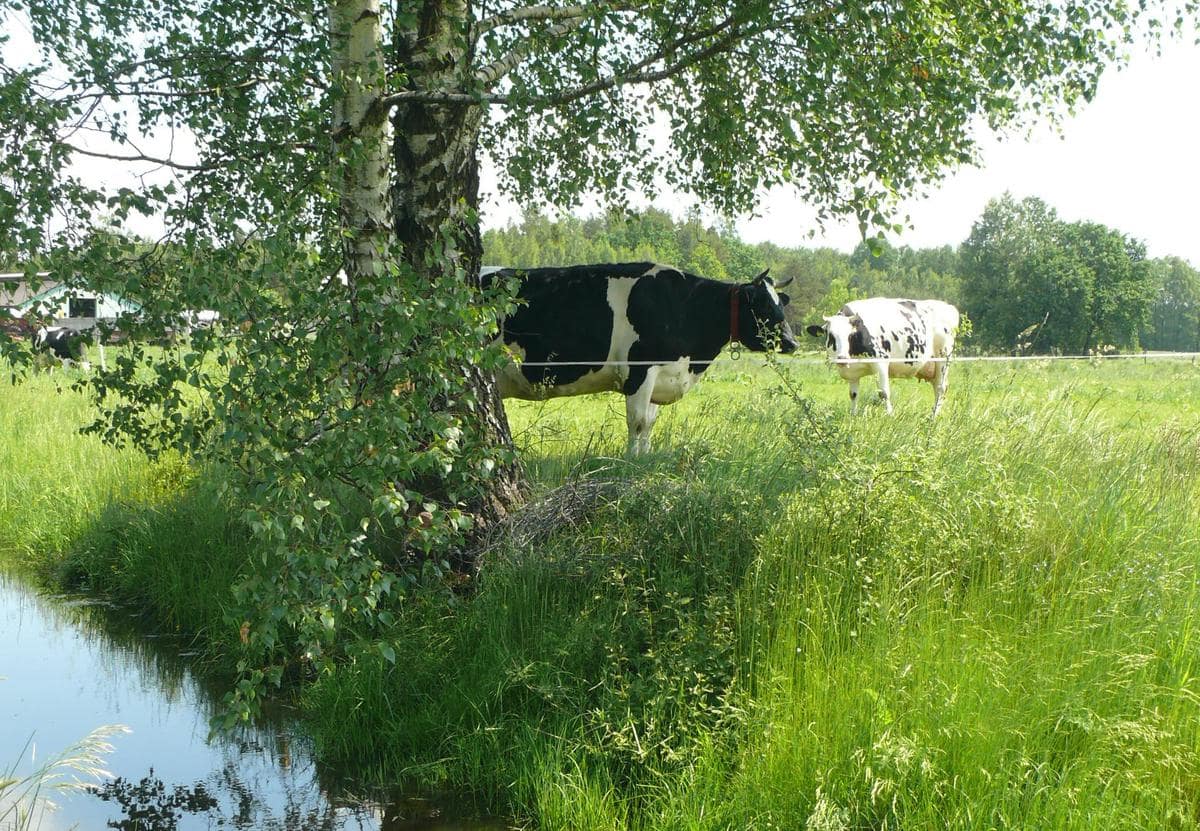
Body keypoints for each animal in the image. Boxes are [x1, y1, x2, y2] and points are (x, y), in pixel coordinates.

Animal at [482, 261, 801, 451]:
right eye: (763, 305)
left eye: (781, 304)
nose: (791, 342)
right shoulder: (640, 370)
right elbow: (636, 422)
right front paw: (630, 460)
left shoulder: (661, 377)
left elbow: (648, 424)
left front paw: (645, 457)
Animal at [806, 296, 964, 415]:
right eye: (831, 335)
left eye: (850, 335)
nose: (842, 358)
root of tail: (948, 307)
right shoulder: (853, 372)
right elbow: (853, 394)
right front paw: (853, 415)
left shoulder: (881, 363)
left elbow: (884, 393)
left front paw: (890, 415)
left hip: (943, 359)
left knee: (940, 388)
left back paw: (933, 417)